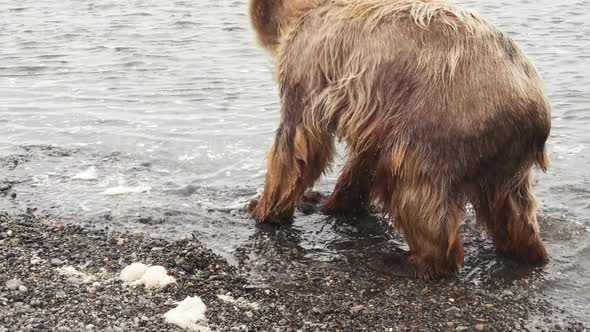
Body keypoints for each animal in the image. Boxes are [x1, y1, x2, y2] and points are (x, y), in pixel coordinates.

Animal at [245, 0, 552, 280]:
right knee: (513, 210)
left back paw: (411, 261)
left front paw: (264, 208)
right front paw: (333, 201)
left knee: (411, 186)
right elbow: (364, 159)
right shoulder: (376, 112)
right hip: (507, 156)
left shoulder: (309, 67)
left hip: (443, 121)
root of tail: (534, 106)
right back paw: (527, 250)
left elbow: (298, 144)